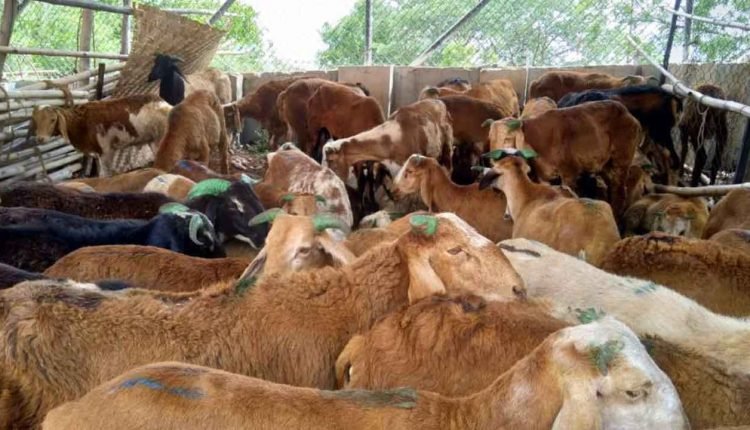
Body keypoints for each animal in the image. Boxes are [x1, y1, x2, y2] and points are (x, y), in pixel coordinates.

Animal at [31, 95, 170, 176]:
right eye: (36, 120)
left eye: (53, 120)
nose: (40, 138)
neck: (80, 122)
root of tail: (167, 105)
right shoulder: (98, 153)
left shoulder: (106, 151)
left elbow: (106, 175)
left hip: (160, 140)